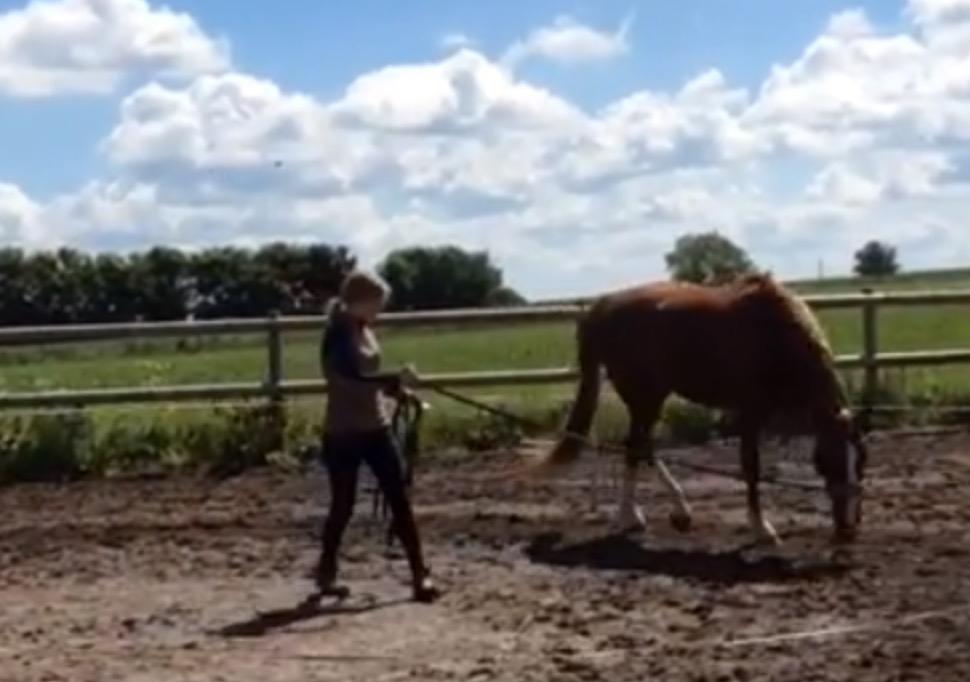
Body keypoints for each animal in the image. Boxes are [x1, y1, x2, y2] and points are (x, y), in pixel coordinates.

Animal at [536, 270, 864, 540]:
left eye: (860, 462)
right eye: (829, 461)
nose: (849, 529)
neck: (773, 336)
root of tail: (603, 307)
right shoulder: (751, 412)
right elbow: (751, 467)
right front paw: (762, 528)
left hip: (651, 398)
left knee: (644, 446)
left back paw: (677, 512)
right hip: (644, 397)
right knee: (634, 447)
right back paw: (631, 517)